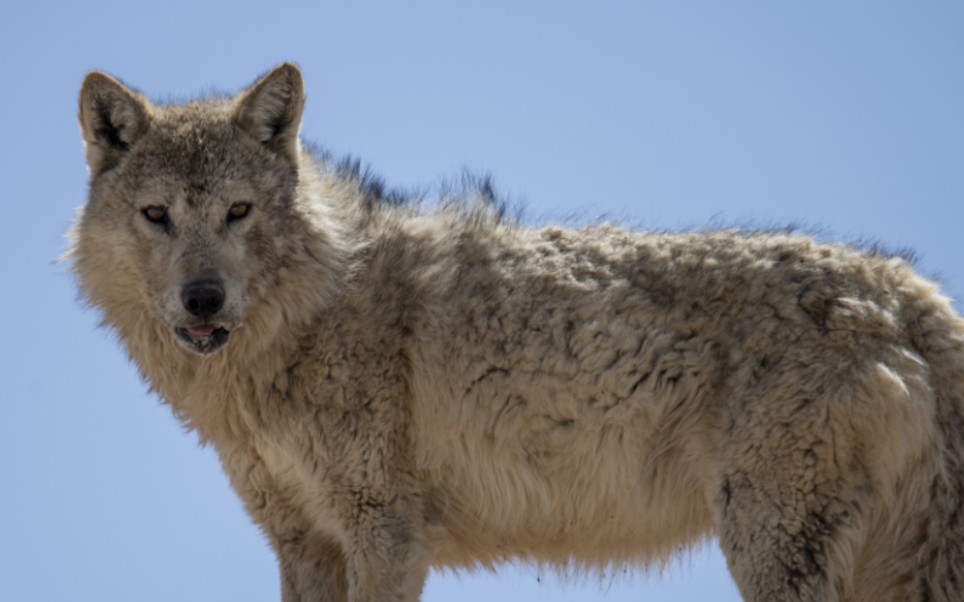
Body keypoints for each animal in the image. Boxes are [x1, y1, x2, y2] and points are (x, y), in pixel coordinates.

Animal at [73, 63, 964, 596]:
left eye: (237, 212)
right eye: (157, 216)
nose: (203, 299)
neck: (313, 311)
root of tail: (907, 288)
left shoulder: (385, 532)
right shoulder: (304, 545)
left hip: (771, 542)